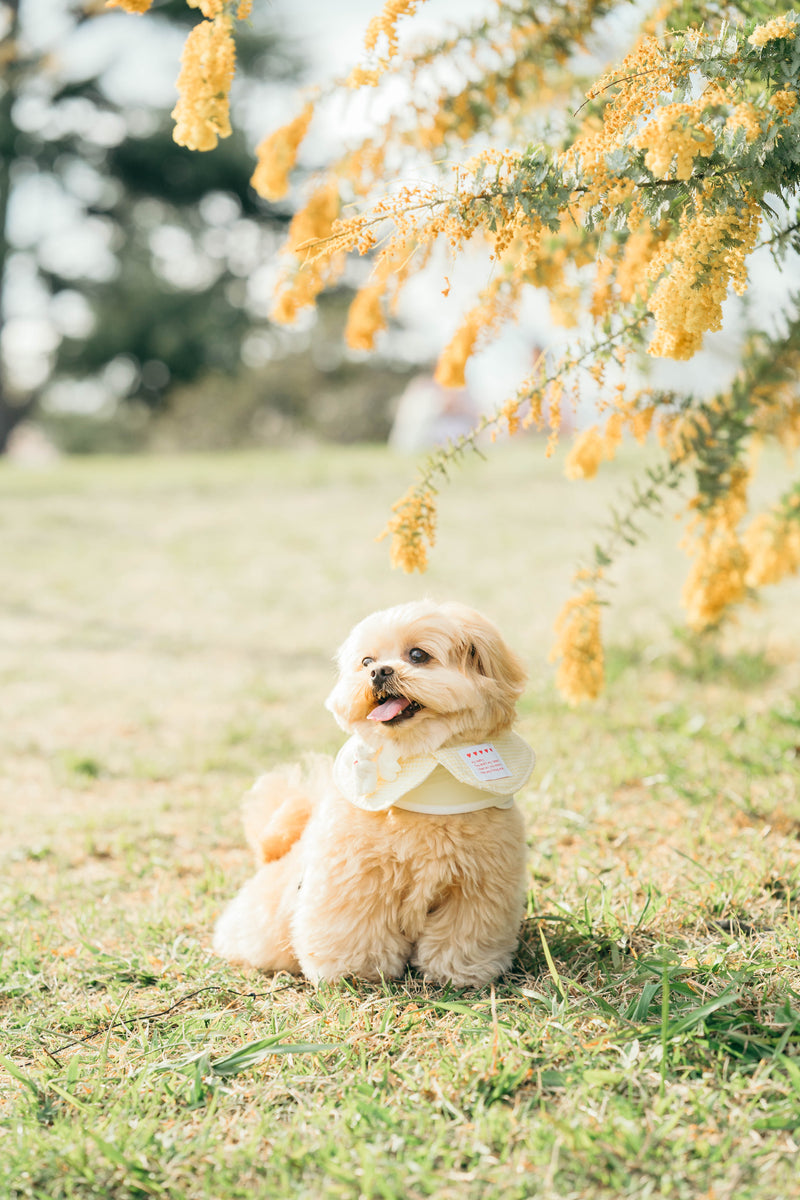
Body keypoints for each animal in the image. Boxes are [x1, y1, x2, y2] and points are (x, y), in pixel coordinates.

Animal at [215, 597, 534, 984]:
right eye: (366, 661)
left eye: (417, 655)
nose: (378, 672)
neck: (420, 761)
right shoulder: (356, 880)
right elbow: (356, 928)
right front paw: (356, 972)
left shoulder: (477, 885)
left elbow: (462, 935)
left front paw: (460, 972)